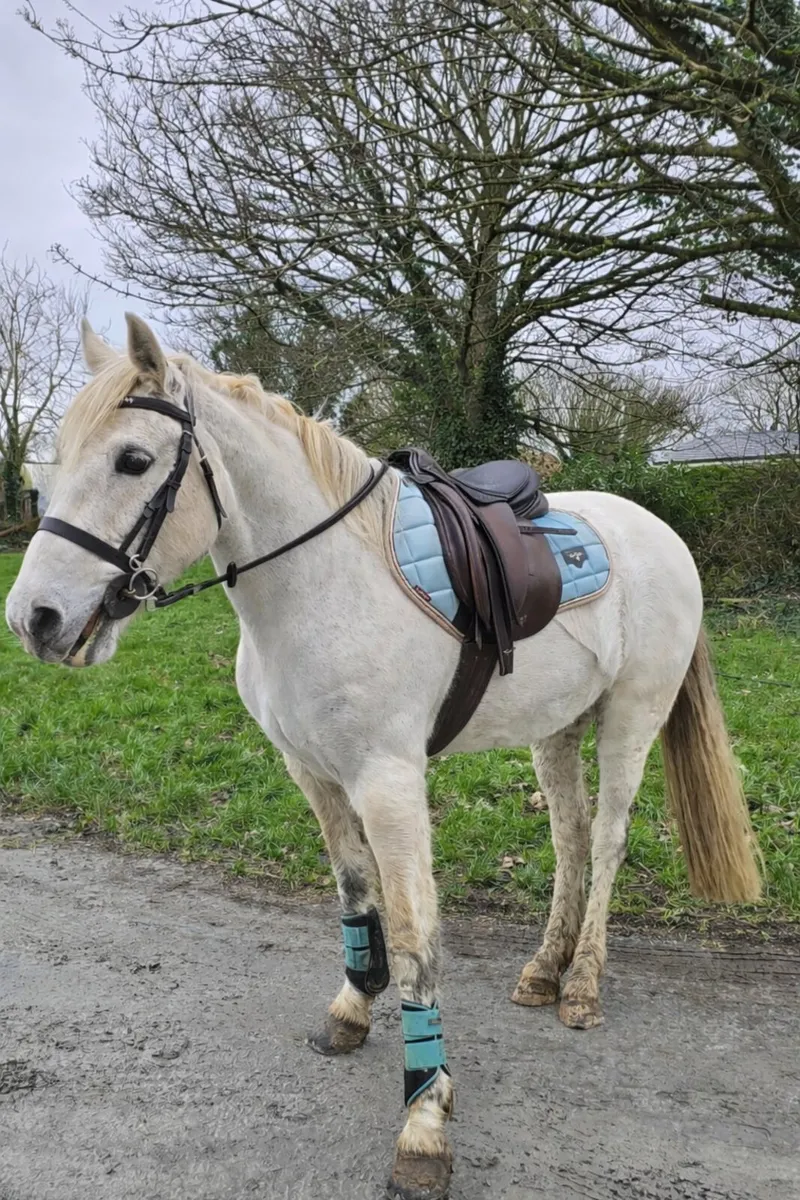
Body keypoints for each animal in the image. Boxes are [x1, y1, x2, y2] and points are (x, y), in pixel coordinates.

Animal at [6, 315, 761, 1200]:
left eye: (133, 460)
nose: (35, 619)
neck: (320, 581)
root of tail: (661, 533)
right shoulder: (313, 773)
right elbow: (354, 893)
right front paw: (351, 1008)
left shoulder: (390, 783)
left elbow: (411, 938)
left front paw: (425, 1117)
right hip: (557, 729)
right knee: (570, 841)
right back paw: (545, 968)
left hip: (630, 722)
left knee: (606, 842)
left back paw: (581, 984)